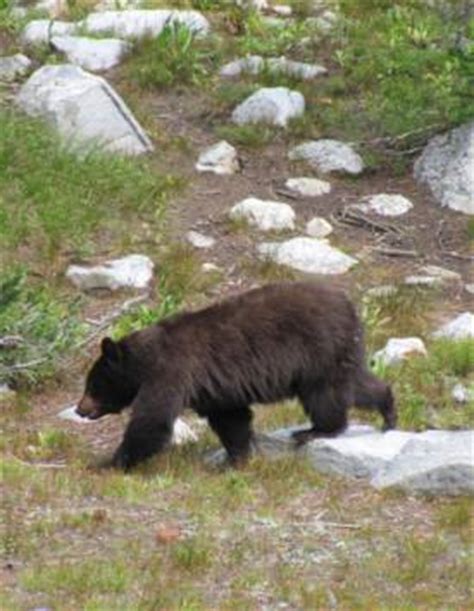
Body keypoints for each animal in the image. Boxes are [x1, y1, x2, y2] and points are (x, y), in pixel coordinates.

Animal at [77, 280, 396, 468]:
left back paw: (315, 430)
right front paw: (237, 458)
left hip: (316, 354)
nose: (80, 410)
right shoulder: (213, 390)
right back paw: (389, 412)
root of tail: (349, 305)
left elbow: (152, 420)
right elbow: (231, 419)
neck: (145, 359)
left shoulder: (171, 372)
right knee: (357, 384)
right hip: (339, 354)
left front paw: (108, 463)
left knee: (325, 396)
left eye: (92, 385)